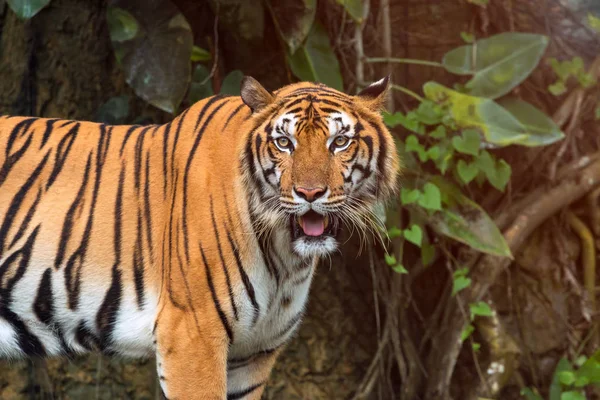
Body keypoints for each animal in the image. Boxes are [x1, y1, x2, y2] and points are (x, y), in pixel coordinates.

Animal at [0, 76, 398, 398]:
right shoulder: (193, 335)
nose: (310, 193)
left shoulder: (254, 353)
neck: (286, 256)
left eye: (340, 141)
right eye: (284, 143)